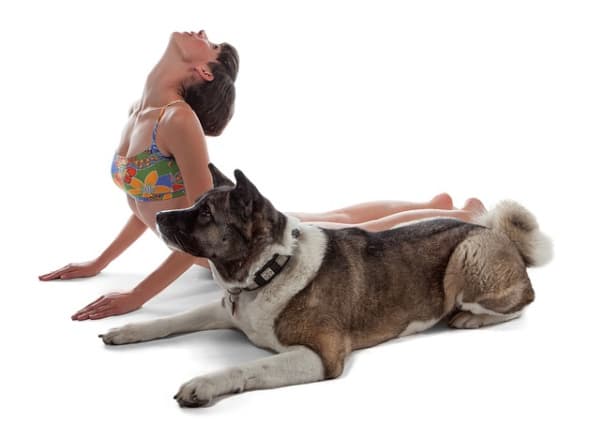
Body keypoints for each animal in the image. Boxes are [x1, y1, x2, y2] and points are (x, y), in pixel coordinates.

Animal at [98, 163, 552, 408]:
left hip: (467, 257)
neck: (271, 268)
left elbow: (250, 366)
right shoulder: (224, 309)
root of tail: (499, 234)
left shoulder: (320, 356)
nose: (159, 217)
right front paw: (127, 329)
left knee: (520, 300)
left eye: (206, 213)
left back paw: (469, 318)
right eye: (197, 203)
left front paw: (205, 384)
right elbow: (173, 319)